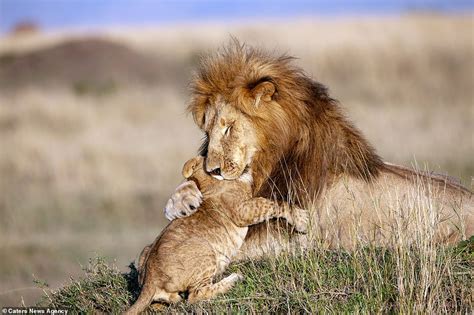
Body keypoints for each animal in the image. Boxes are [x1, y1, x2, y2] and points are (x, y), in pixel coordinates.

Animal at [164, 41, 474, 260]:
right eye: (207, 132)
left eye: (228, 127)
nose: (213, 169)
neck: (270, 161)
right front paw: (181, 201)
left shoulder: (294, 239)